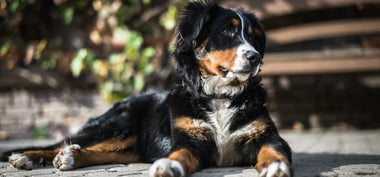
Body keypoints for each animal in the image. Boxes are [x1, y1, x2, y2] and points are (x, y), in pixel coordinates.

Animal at [0, 1, 292, 177]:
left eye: (253, 37)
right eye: (228, 32)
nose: (254, 57)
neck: (220, 96)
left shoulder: (266, 135)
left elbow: (273, 149)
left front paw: (276, 166)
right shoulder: (190, 140)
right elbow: (180, 153)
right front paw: (168, 165)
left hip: (130, 142)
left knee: (100, 151)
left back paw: (71, 158)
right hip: (119, 124)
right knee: (65, 142)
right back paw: (26, 157)